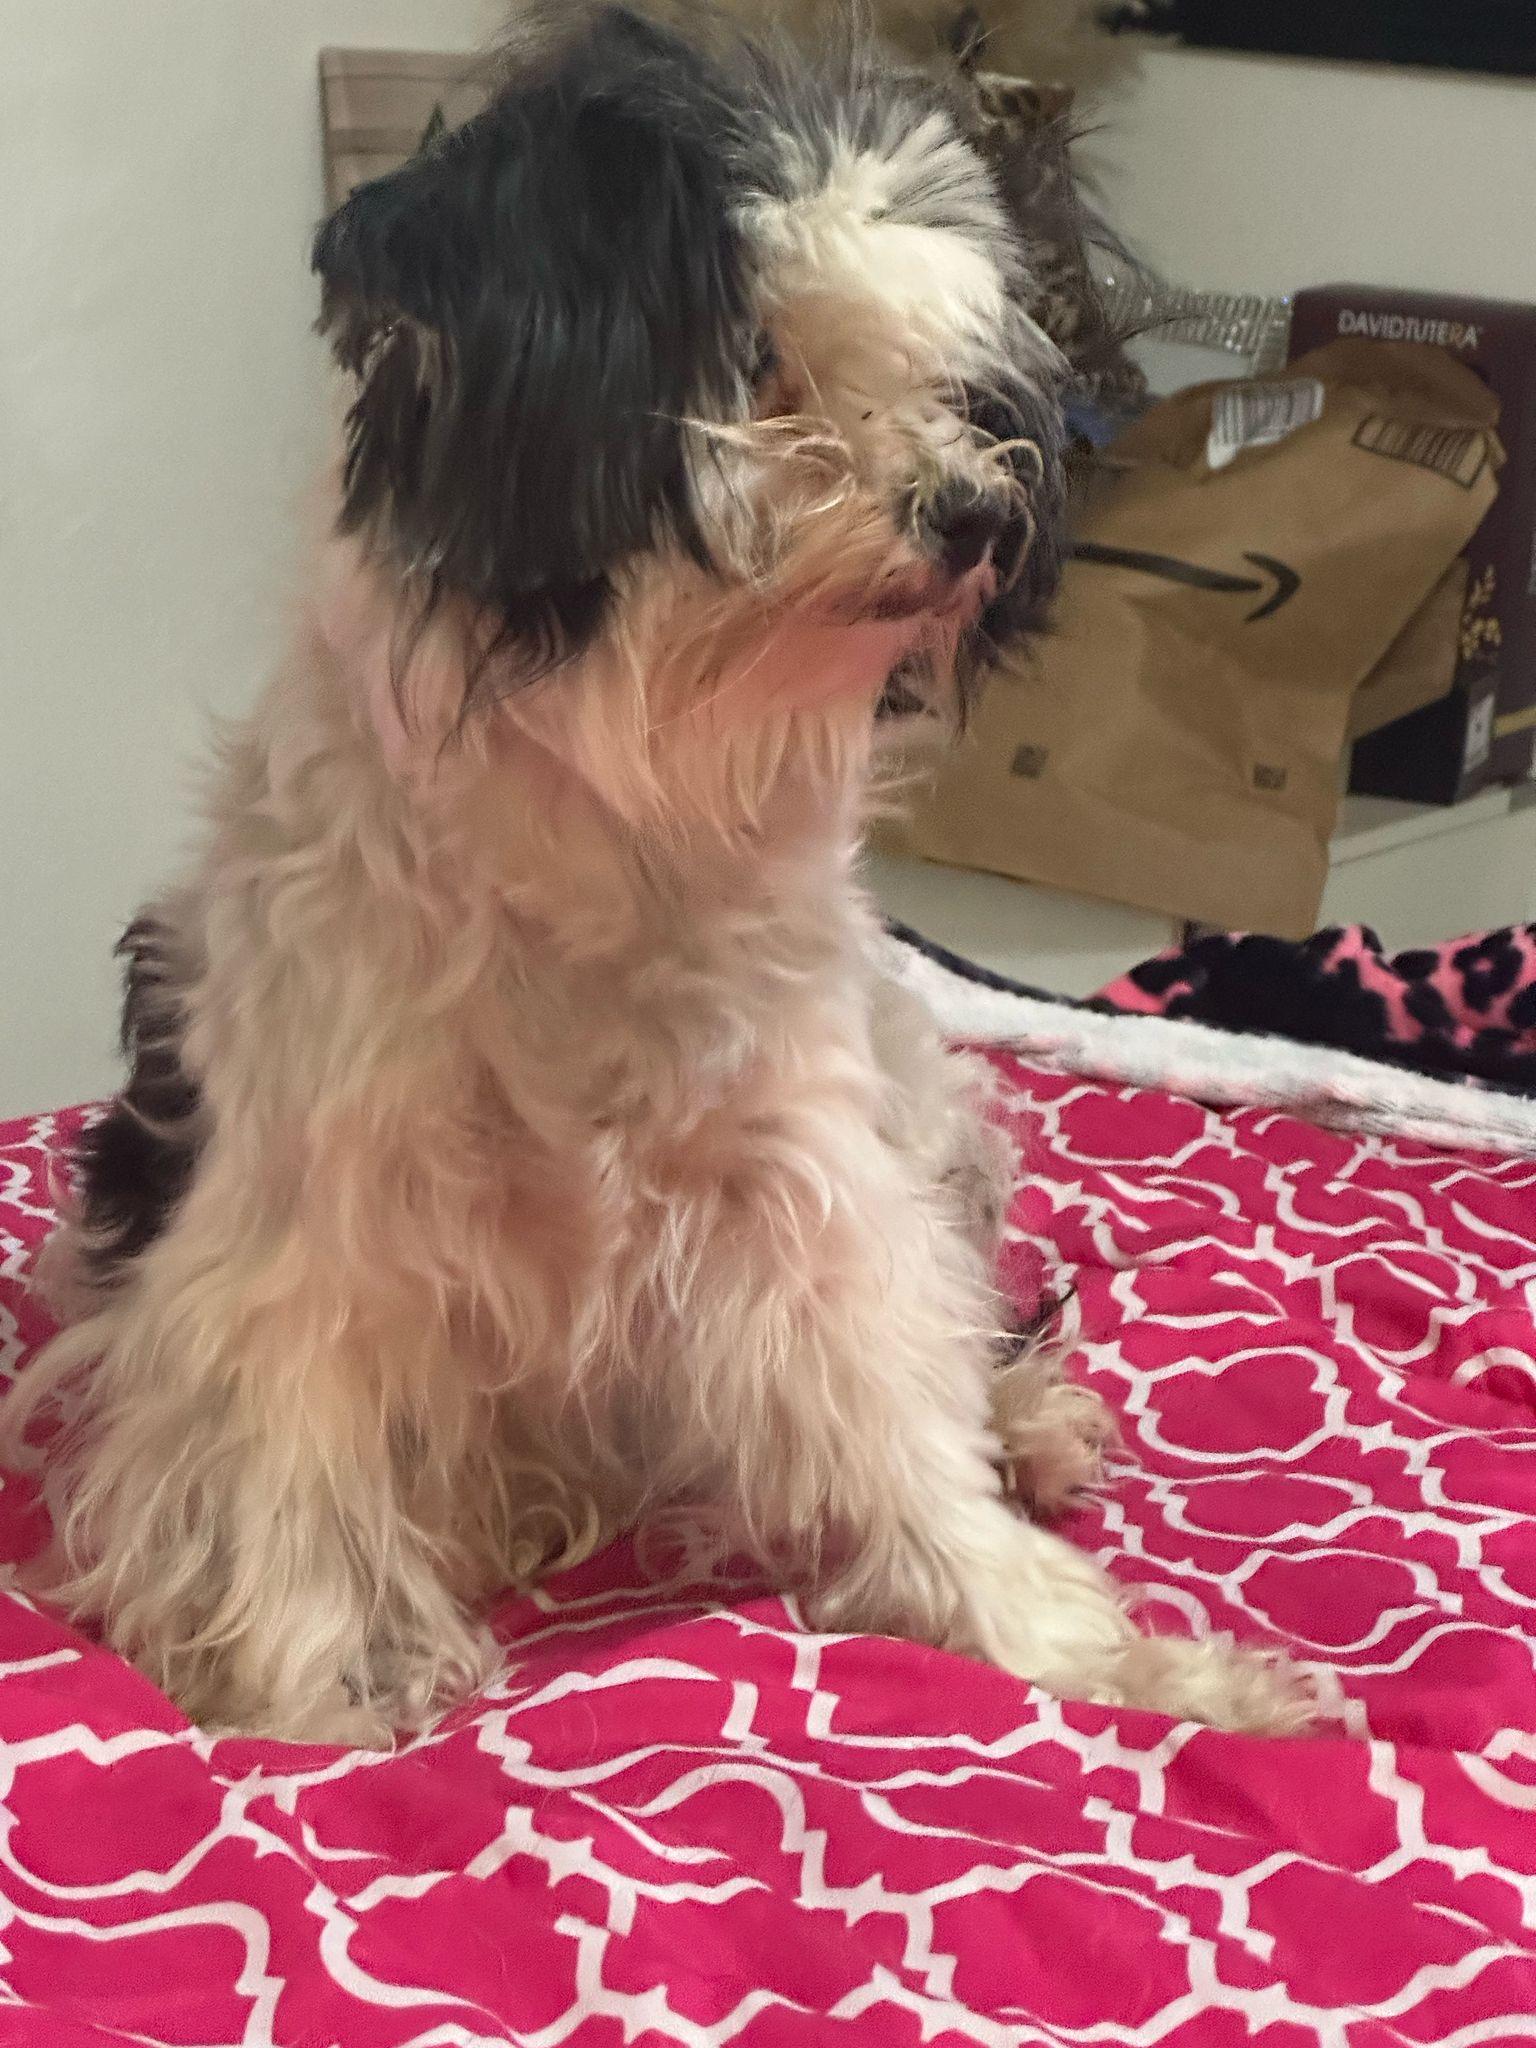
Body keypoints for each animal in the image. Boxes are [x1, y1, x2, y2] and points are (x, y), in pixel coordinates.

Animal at [16, 3, 1303, 1744]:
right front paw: (314, 1676)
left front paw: (1099, 1658)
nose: (981, 511)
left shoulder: (804, 1181)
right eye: (755, 359)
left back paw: (1026, 1423)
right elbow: (287, 1441)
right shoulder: (307, 1219)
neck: (618, 814)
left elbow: (898, 1425)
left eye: (951, 377)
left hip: (926, 1103)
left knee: (965, 1329)